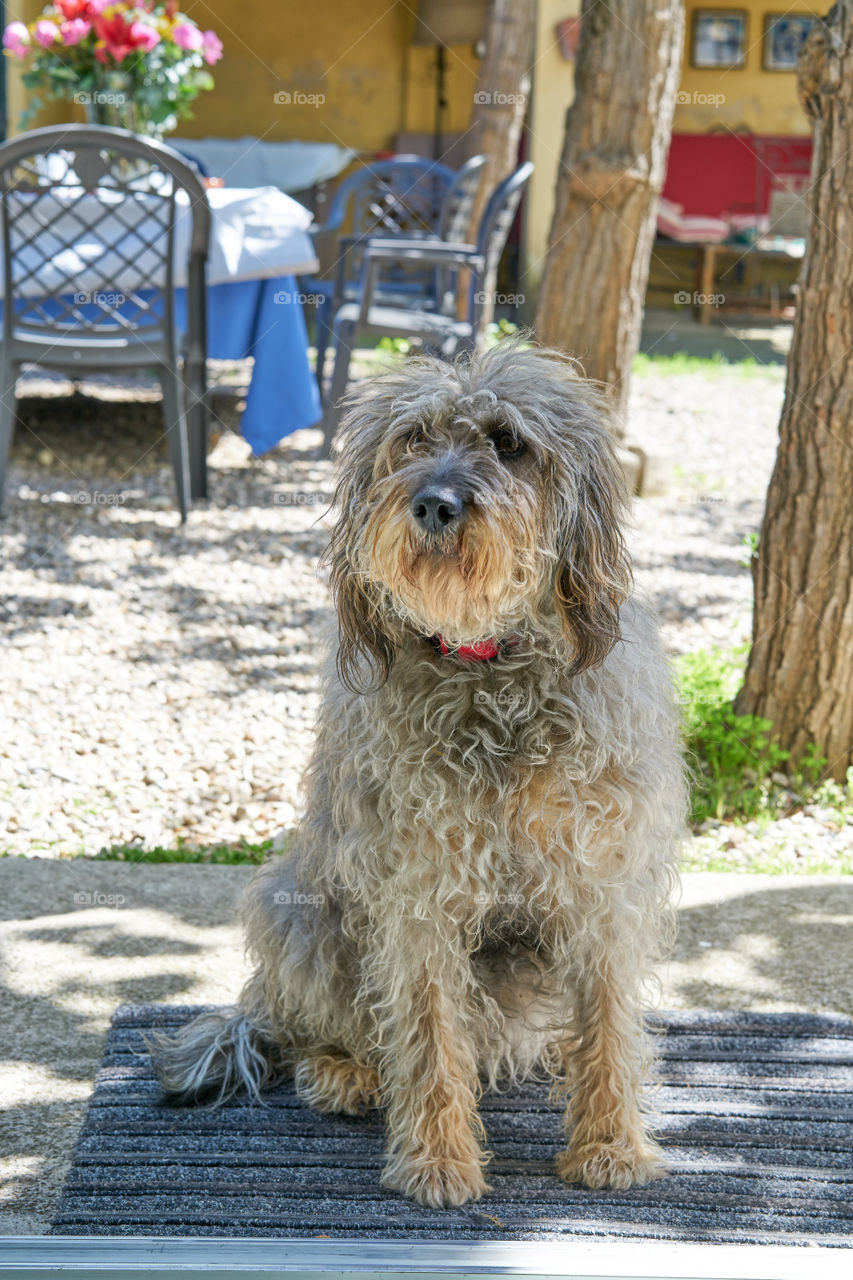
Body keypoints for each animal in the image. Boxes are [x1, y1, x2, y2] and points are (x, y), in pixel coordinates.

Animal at [151, 345, 686, 1203]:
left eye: (509, 442)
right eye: (412, 439)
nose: (434, 504)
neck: (488, 665)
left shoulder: (601, 884)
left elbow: (606, 1018)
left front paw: (609, 1144)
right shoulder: (418, 892)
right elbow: (430, 1030)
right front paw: (437, 1159)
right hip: (295, 913)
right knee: (318, 1031)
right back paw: (345, 1071)